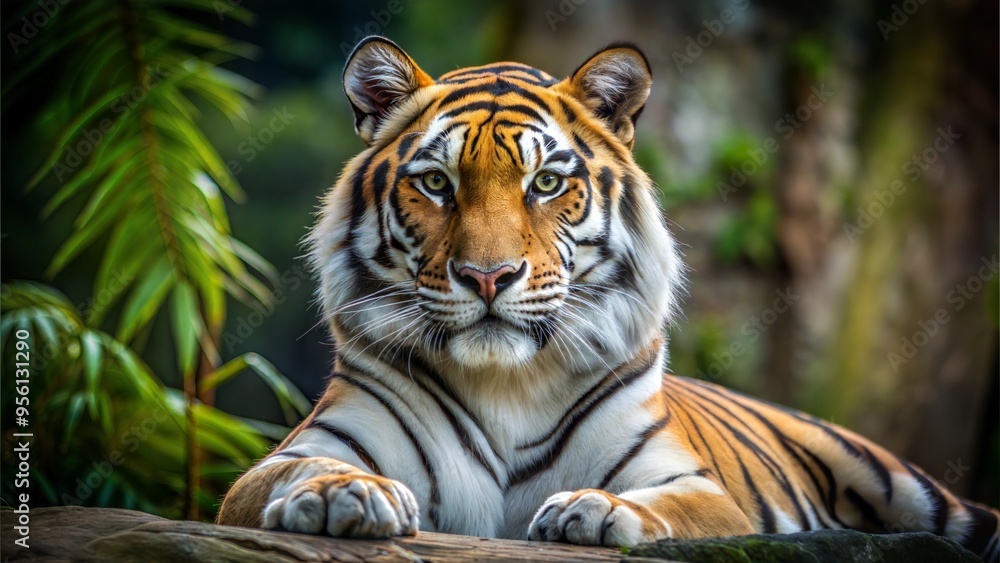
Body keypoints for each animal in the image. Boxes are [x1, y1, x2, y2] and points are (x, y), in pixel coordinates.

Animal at [217, 36, 999, 560]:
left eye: (545, 183)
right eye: (436, 183)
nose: (489, 276)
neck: (506, 382)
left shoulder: (698, 488)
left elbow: (666, 504)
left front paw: (594, 510)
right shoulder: (294, 454)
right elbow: (304, 468)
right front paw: (338, 495)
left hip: (914, 489)